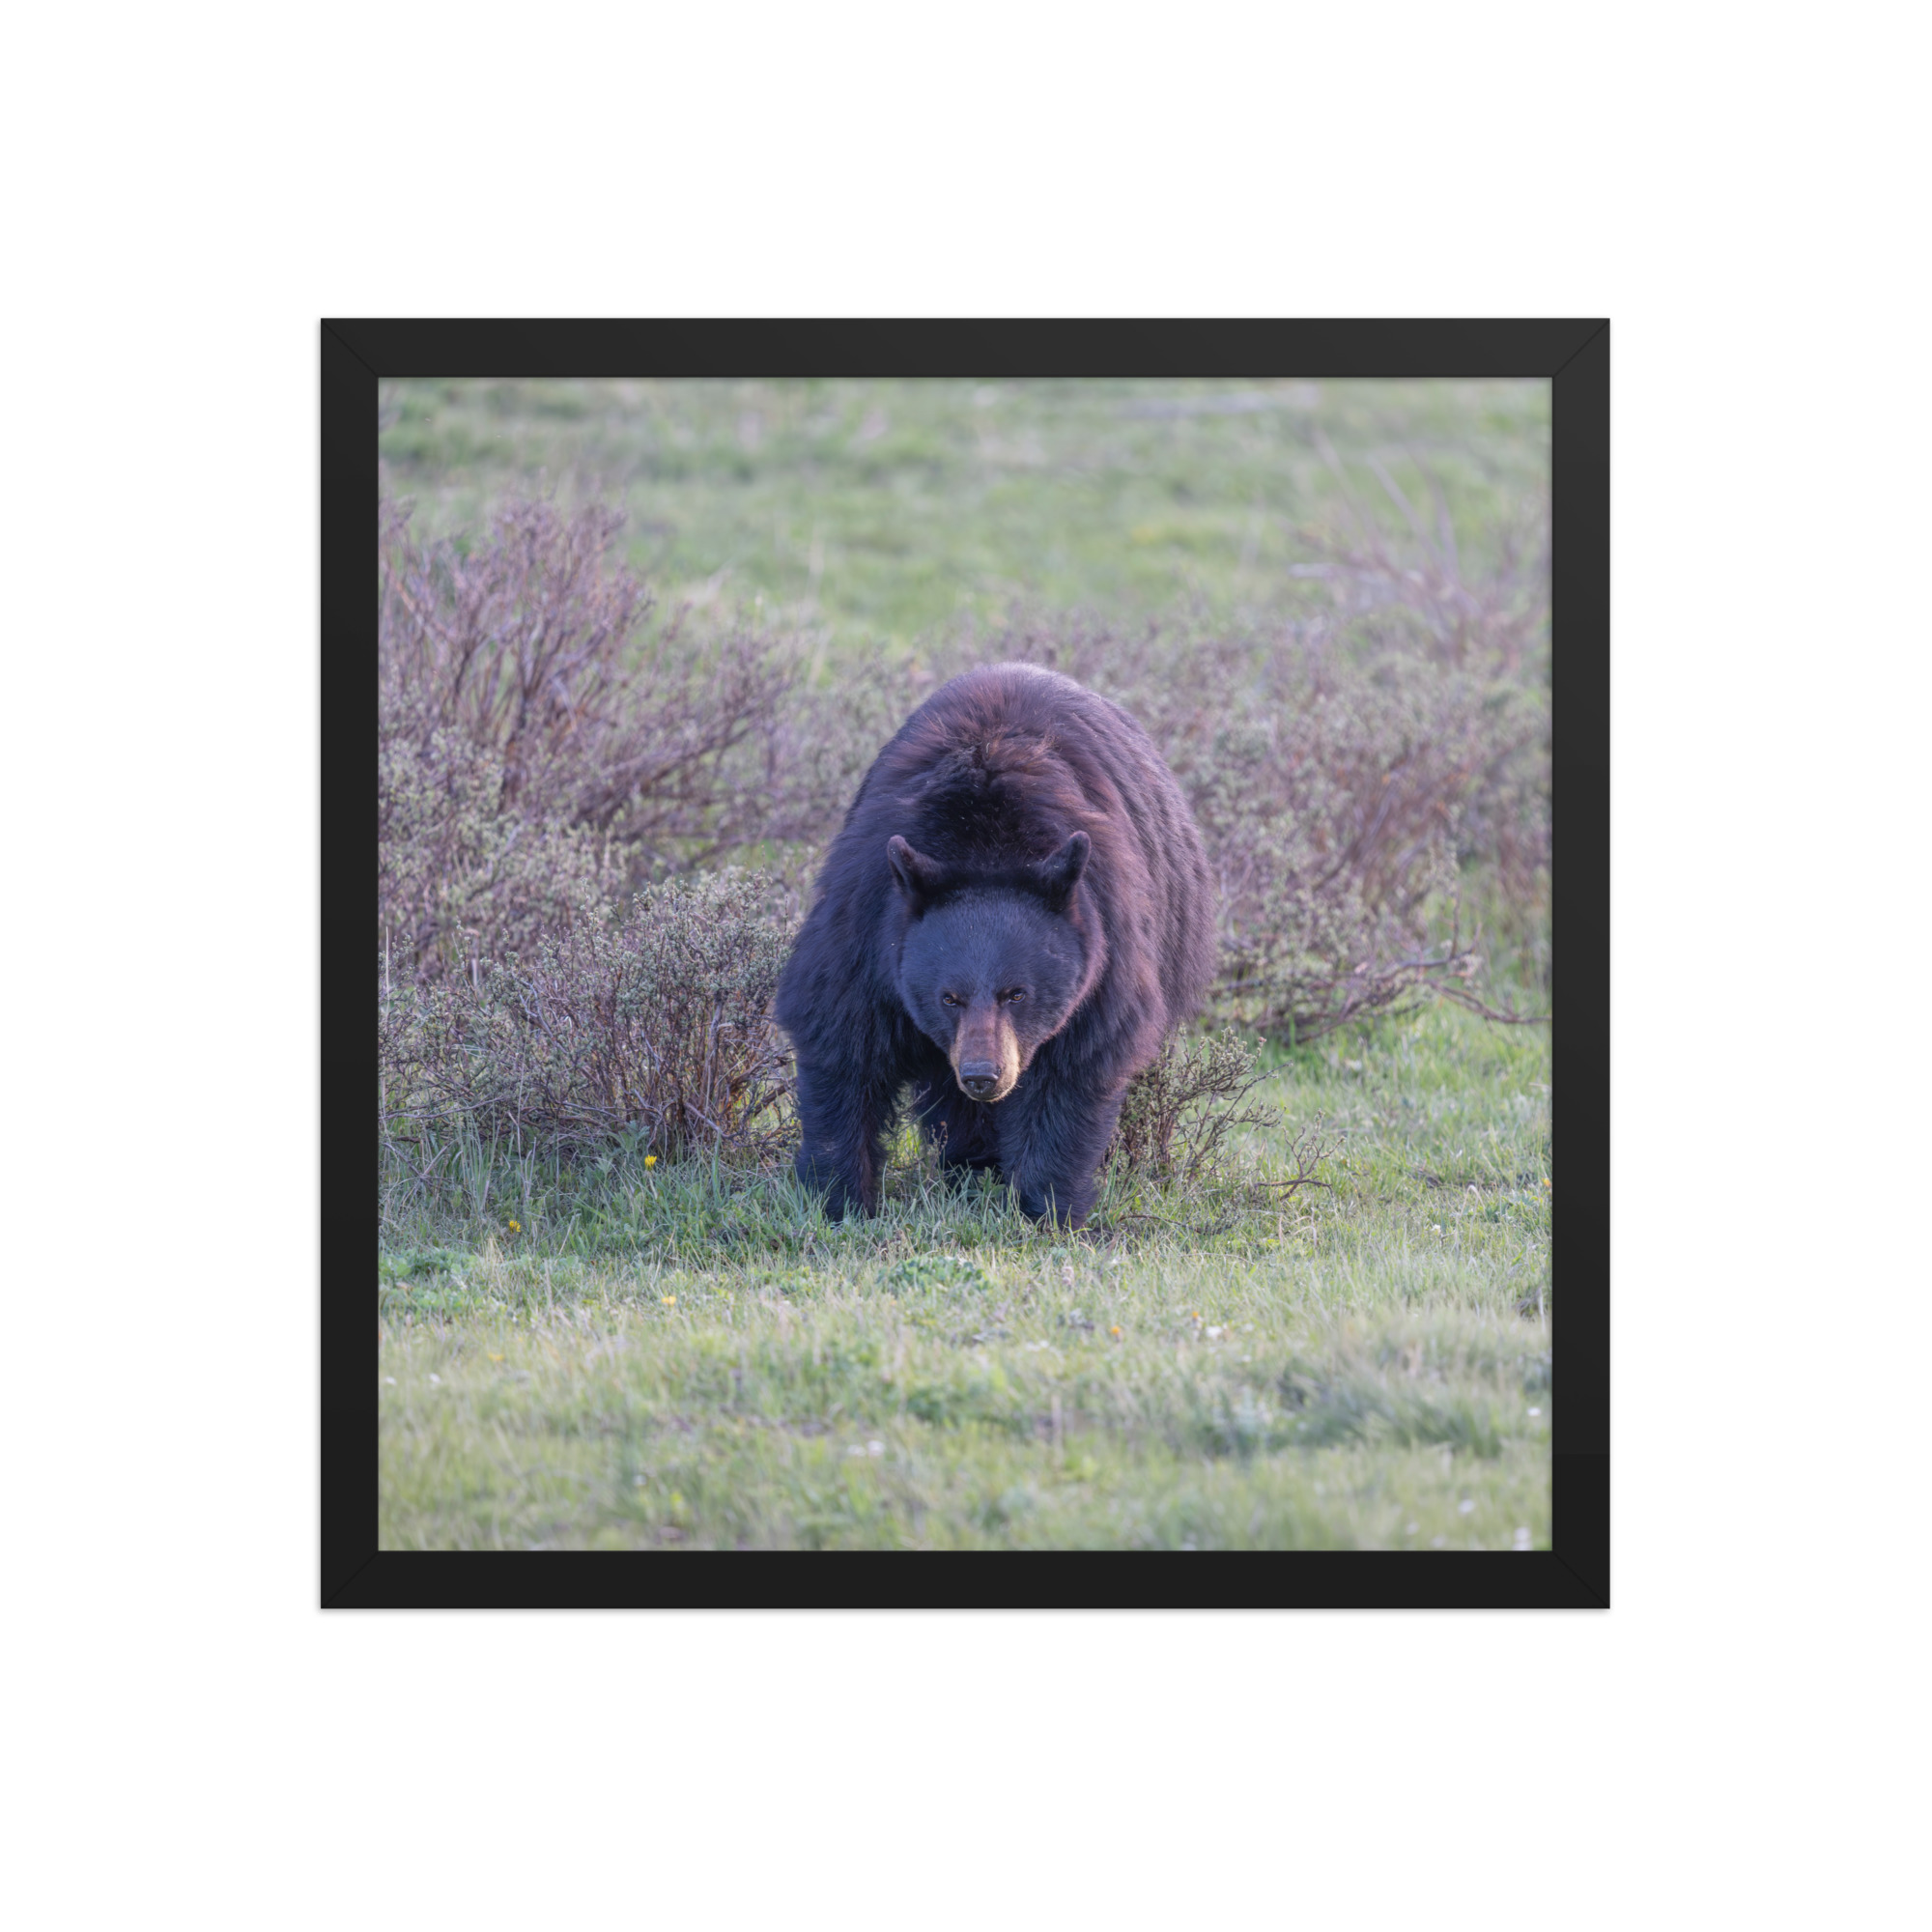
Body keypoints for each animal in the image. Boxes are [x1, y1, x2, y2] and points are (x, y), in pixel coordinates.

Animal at [774, 661, 1216, 1227]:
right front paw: (840, 1199)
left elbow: (1074, 1068)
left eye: (1017, 993)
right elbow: (841, 1040)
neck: (984, 842)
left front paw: (1049, 1208)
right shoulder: (867, 922)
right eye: (948, 997)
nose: (984, 1076)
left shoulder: (1105, 944)